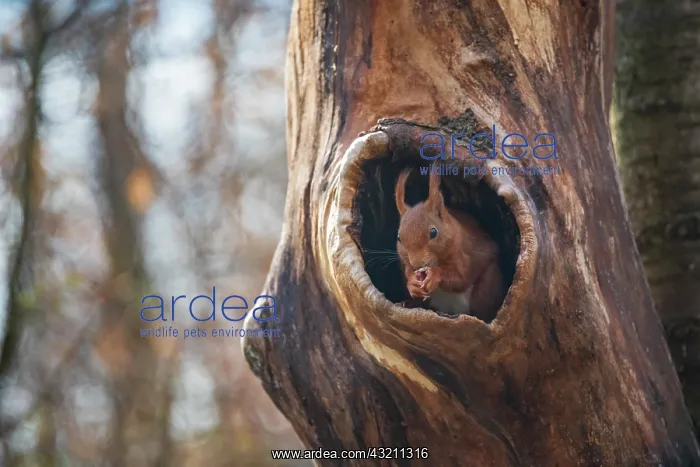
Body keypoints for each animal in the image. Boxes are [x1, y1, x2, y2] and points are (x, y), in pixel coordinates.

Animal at [394, 167, 505, 321]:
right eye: (399, 237)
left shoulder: (463, 255)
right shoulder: (408, 264)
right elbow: (409, 273)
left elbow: (460, 279)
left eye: (433, 232)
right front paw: (412, 284)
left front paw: (435, 275)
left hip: (487, 288)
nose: (417, 263)